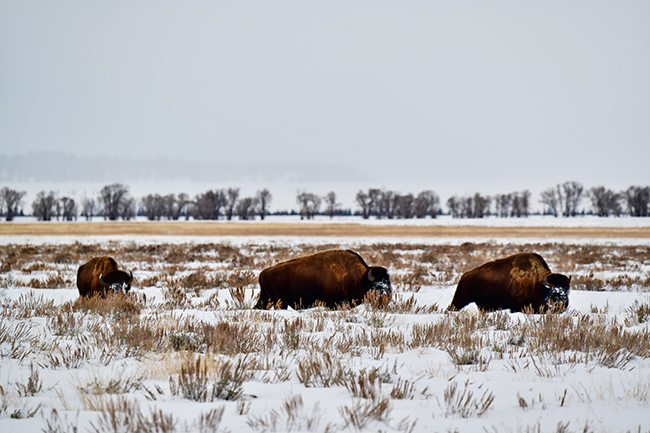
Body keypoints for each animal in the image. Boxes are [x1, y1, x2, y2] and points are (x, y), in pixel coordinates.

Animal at [256, 248, 392, 308]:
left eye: (389, 284)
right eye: (377, 286)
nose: (387, 297)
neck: (360, 279)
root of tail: (263, 272)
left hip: (266, 298)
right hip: (280, 302)